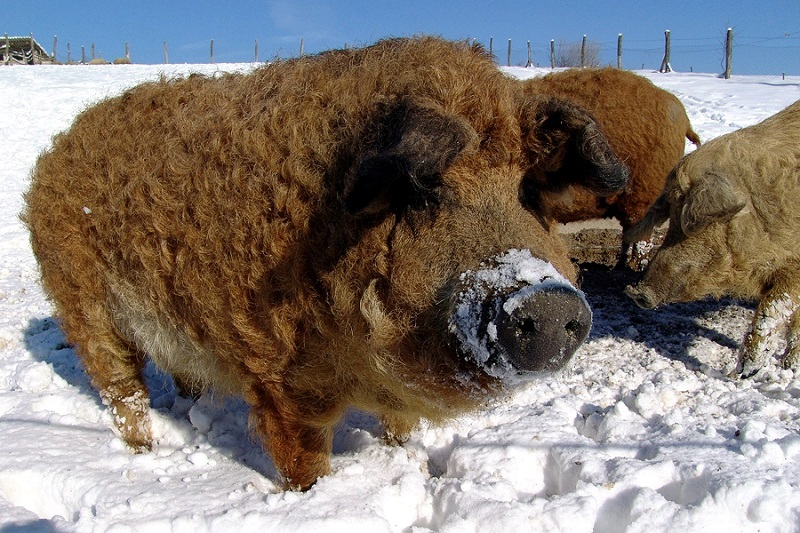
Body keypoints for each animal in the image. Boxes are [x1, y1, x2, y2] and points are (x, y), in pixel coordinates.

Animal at [624, 97, 800, 376]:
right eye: (671, 216)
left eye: (696, 224)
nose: (635, 291)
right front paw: (783, 366)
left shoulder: (793, 270)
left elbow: (772, 311)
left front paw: (743, 372)